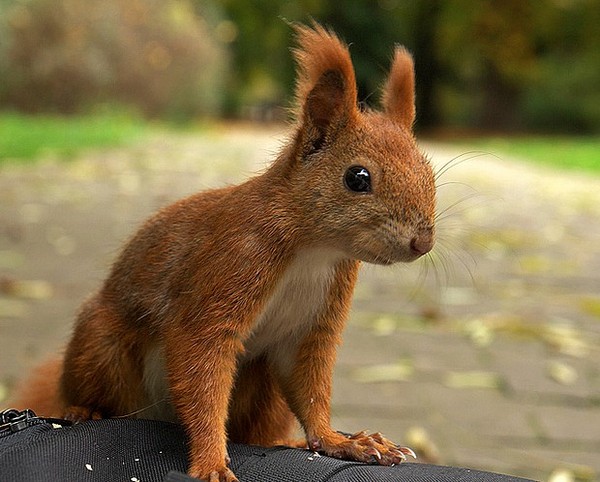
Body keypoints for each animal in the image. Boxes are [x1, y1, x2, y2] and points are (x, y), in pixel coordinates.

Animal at [12, 22, 436, 482]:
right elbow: (201, 359)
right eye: (357, 178)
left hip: (263, 390)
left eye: (428, 170)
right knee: (90, 388)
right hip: (102, 345)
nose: (423, 242)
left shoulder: (315, 321)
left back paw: (287, 442)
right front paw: (212, 461)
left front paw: (341, 442)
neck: (314, 251)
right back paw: (82, 410)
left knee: (258, 428)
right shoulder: (231, 265)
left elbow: (309, 385)